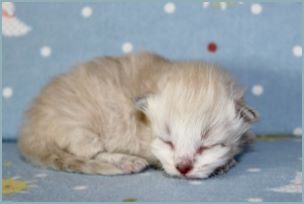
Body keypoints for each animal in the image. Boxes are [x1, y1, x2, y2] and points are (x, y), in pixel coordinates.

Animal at [17, 51, 258, 178]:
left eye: (208, 145)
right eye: (167, 141)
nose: (183, 168)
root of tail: (31, 130)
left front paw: (227, 162)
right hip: (79, 129)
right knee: (89, 153)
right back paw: (126, 161)